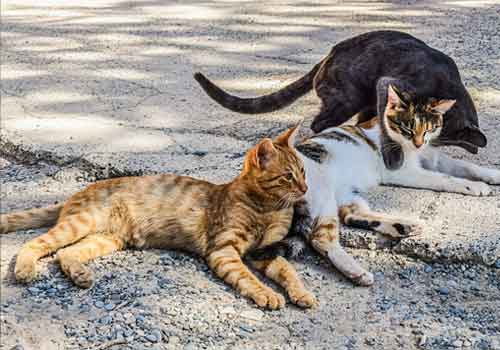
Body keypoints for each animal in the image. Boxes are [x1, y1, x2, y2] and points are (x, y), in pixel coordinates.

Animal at [0, 125, 314, 308]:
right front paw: (267, 294)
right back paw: (25, 269)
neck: (268, 208)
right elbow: (248, 278)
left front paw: (302, 293)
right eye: (288, 176)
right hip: (79, 224)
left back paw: (80, 275)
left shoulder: (265, 251)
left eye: (304, 171)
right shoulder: (224, 250)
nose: (305, 188)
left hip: (106, 240)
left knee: (65, 254)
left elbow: (288, 271)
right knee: (35, 244)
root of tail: (77, 192)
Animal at [196, 30, 488, 170]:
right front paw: (393, 156)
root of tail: (327, 56)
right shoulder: (388, 85)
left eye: (434, 134)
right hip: (347, 99)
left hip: (362, 103)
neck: (447, 84)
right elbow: (388, 130)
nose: (420, 146)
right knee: (318, 123)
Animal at [288, 86, 498, 286]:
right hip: (322, 194)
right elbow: (444, 178)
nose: (418, 144)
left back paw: (405, 227)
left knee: (351, 216)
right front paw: (474, 186)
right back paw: (357, 272)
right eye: (408, 128)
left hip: (345, 194)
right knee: (320, 238)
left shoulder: (433, 157)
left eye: (429, 129)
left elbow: (466, 165)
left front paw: (493, 174)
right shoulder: (403, 170)